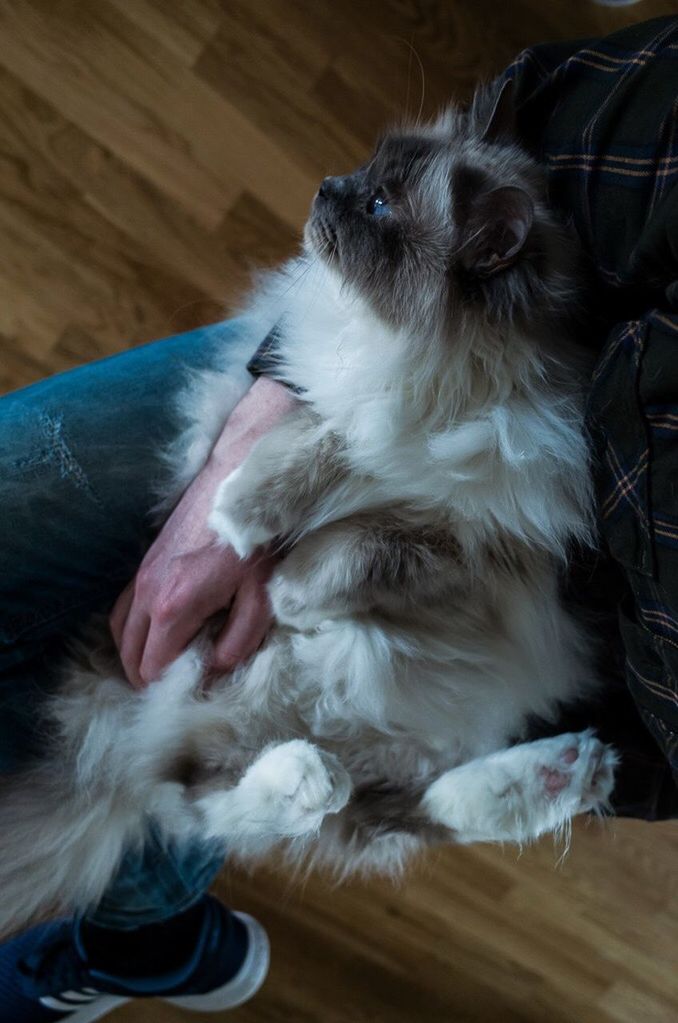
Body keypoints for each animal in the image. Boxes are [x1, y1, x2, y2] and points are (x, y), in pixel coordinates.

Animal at [0, 83, 617, 937]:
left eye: (381, 205)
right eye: (363, 172)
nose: (328, 185)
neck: (437, 369)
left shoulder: (479, 539)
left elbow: (364, 539)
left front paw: (287, 587)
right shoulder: (330, 398)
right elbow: (324, 439)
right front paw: (244, 519)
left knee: (398, 806)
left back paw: (566, 770)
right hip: (190, 703)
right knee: (226, 801)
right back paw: (317, 772)